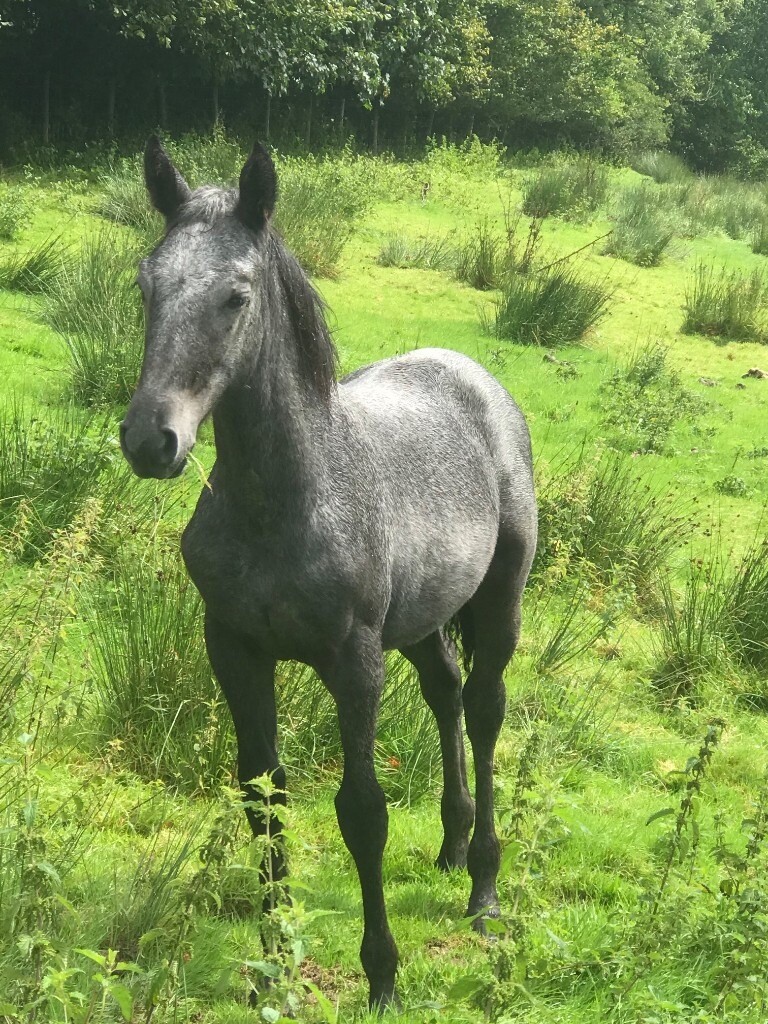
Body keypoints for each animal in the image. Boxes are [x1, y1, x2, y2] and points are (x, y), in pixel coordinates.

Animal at [120, 136, 537, 1010]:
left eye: (235, 297)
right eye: (147, 284)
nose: (150, 440)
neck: (285, 501)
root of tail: (474, 376)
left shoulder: (353, 662)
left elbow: (363, 811)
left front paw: (381, 976)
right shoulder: (234, 650)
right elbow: (262, 794)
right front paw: (270, 966)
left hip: (498, 604)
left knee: (484, 711)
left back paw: (483, 888)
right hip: (419, 623)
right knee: (445, 692)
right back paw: (451, 845)